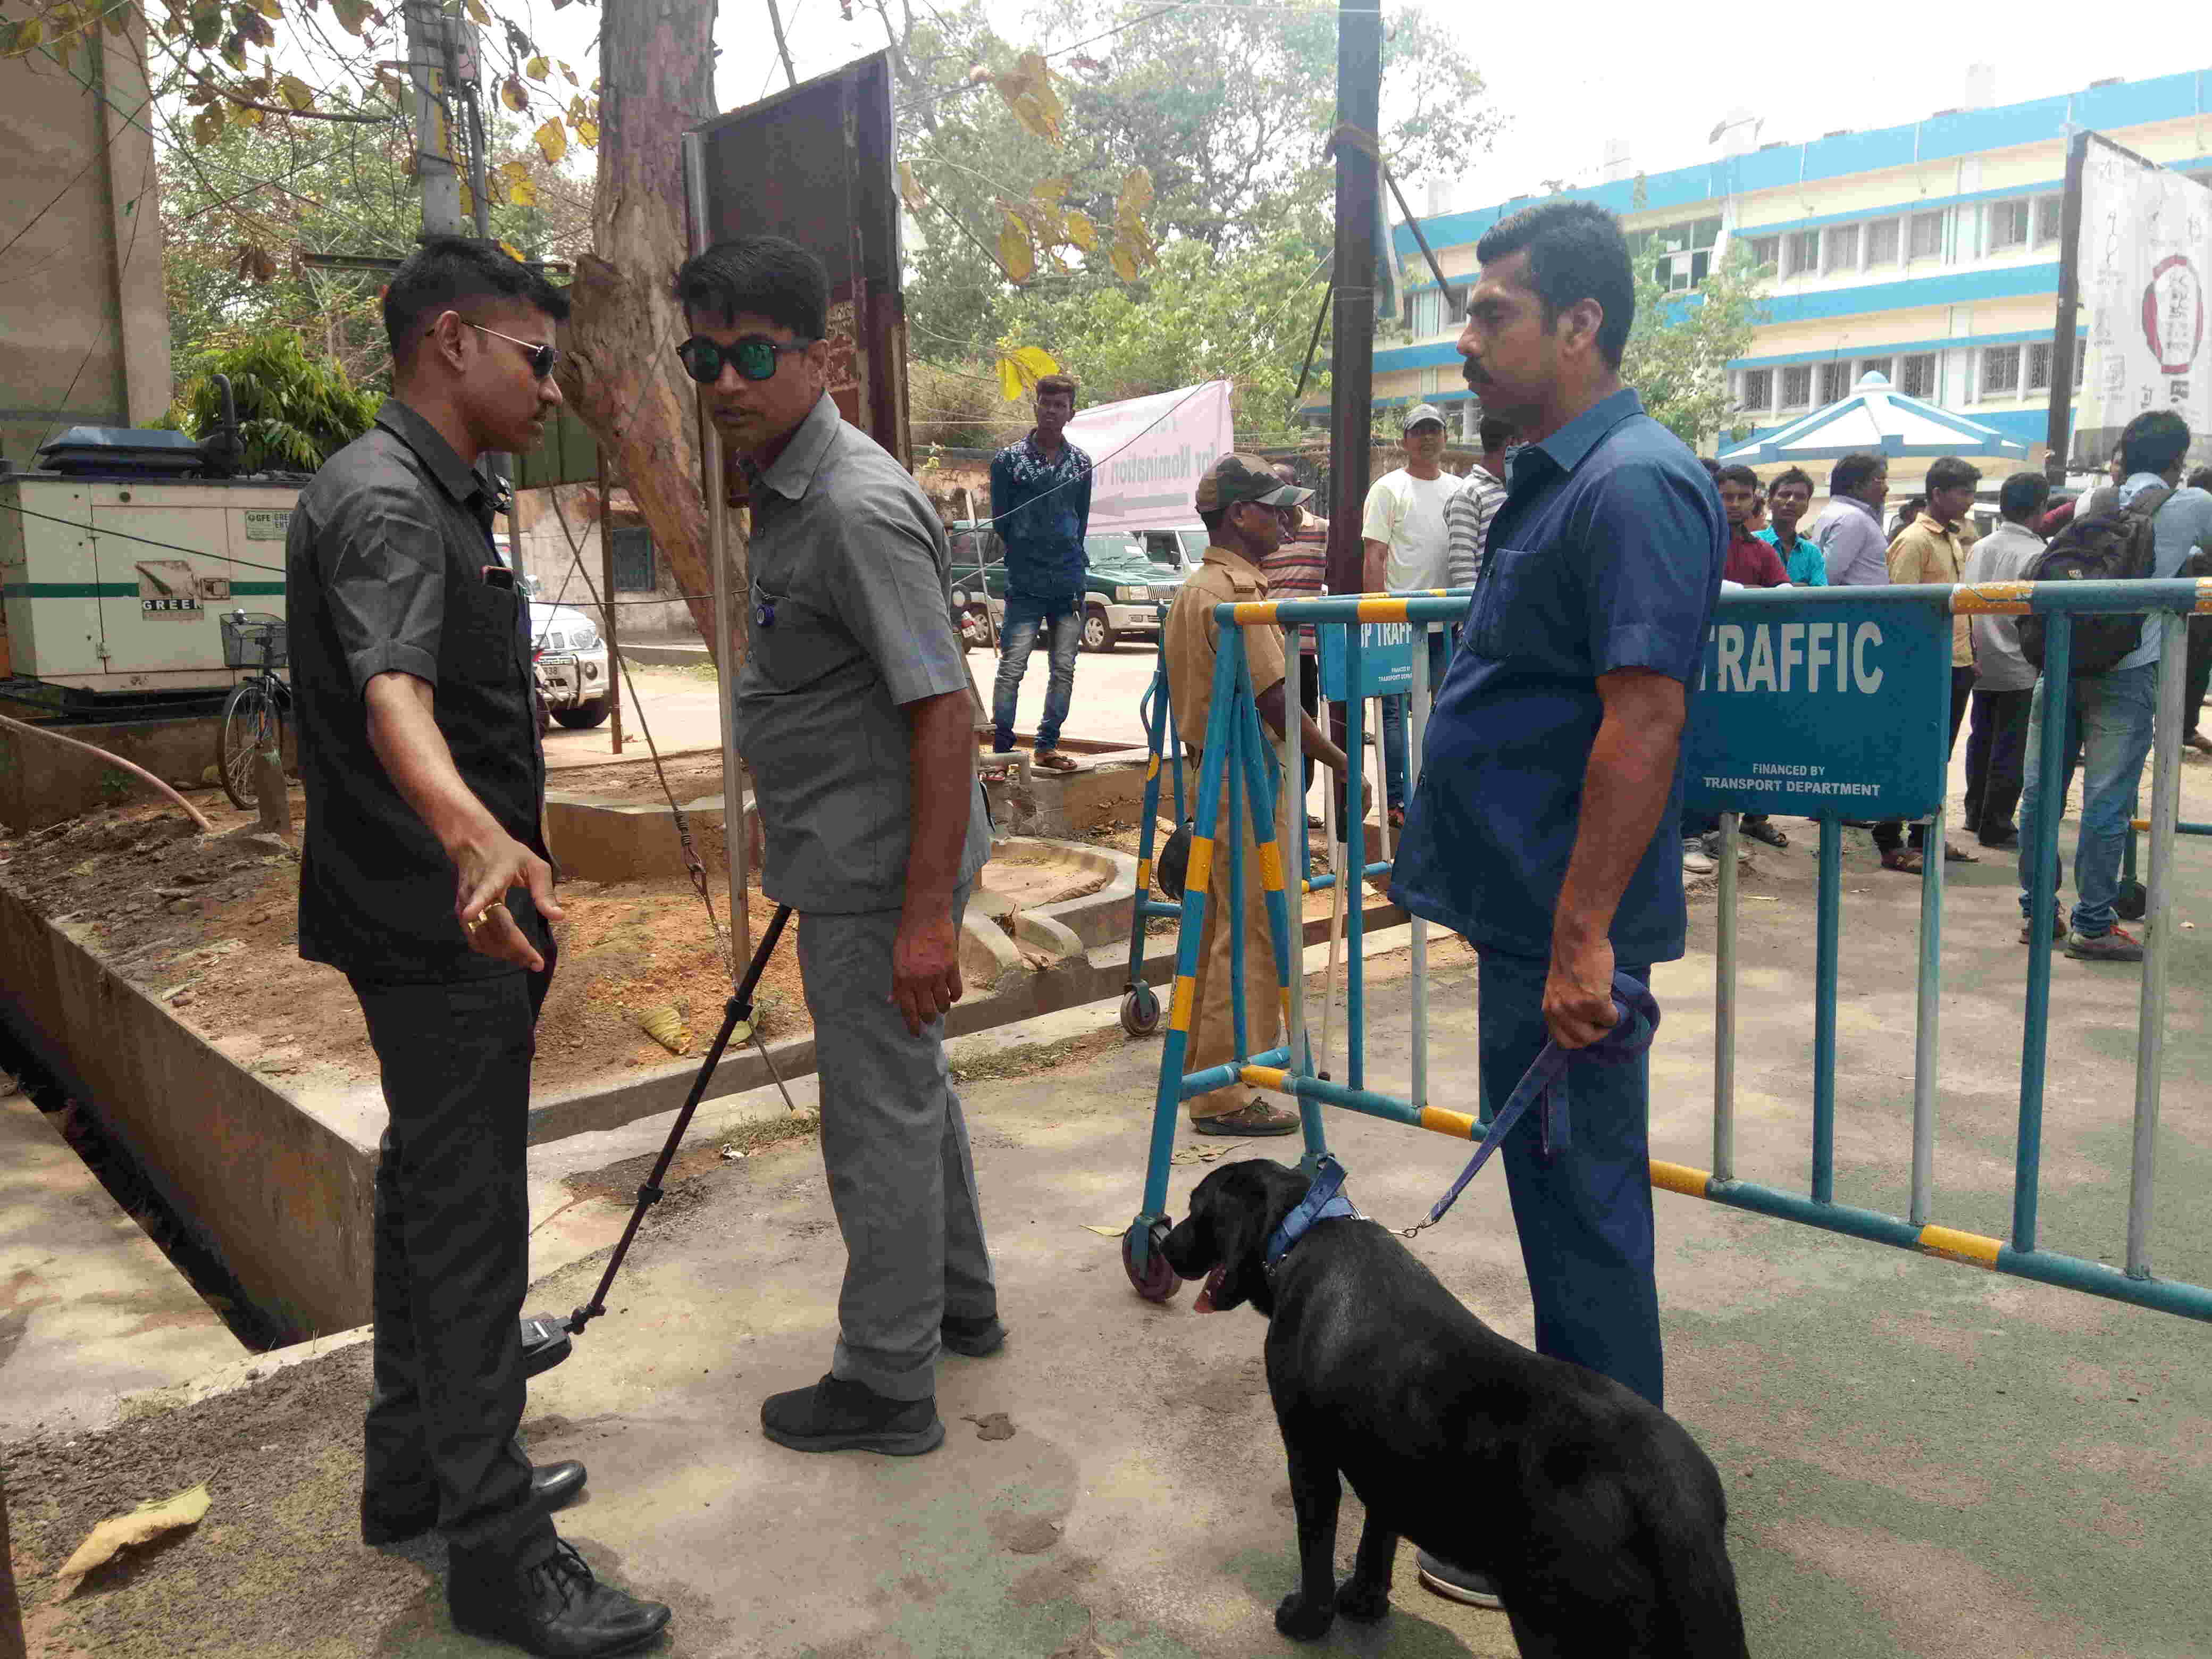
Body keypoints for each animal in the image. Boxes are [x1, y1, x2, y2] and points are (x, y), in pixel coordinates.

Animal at [1159, 1159, 1743, 1654]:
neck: (1305, 1234)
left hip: (1556, 1625)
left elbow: (1315, 1544)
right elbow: (1377, 1537)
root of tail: (1672, 1499)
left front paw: (1307, 1619)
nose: (1163, 1242)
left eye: (1194, 1206)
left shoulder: (1309, 1454)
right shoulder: (1387, 1466)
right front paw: (1365, 1601)